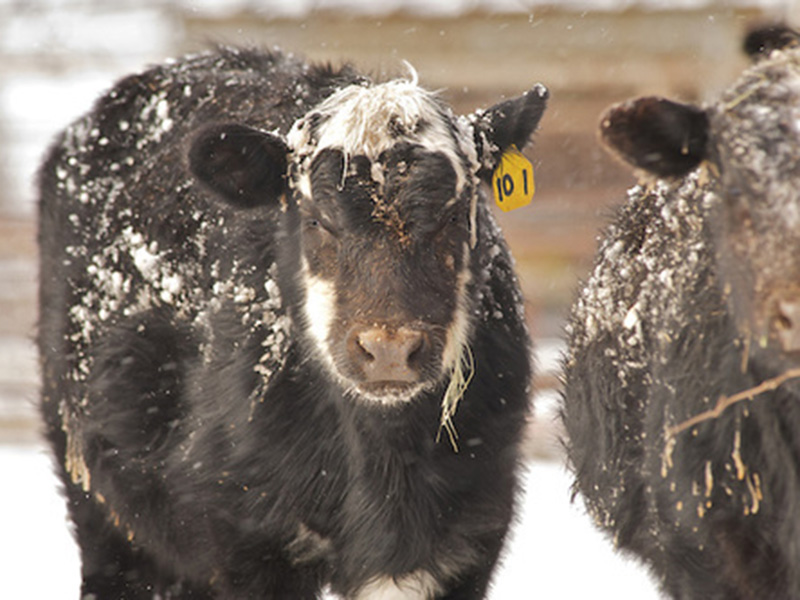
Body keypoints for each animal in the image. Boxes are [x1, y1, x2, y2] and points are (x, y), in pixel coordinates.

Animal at [37, 46, 547, 599]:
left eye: (454, 216)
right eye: (317, 219)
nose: (389, 349)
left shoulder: (469, 536)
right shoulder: (248, 539)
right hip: (100, 502)